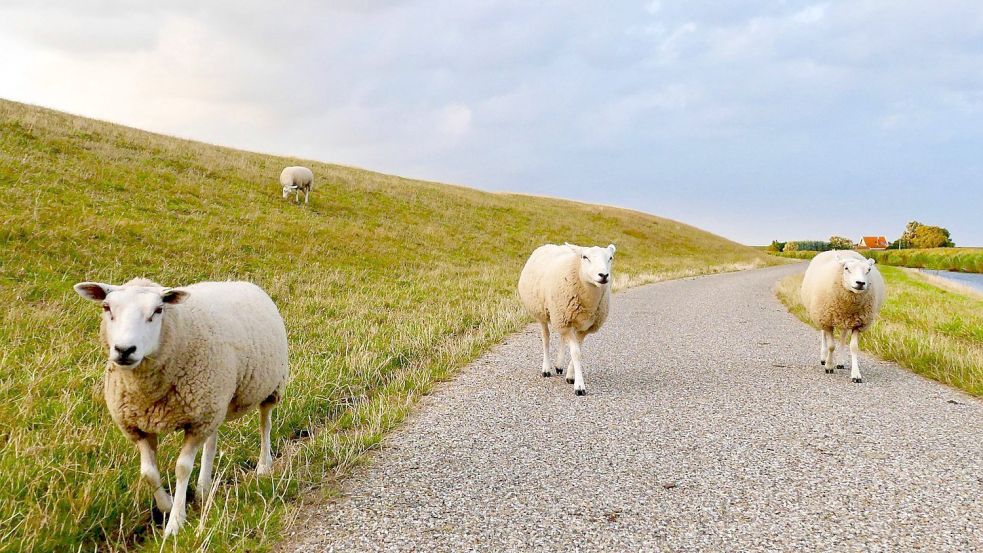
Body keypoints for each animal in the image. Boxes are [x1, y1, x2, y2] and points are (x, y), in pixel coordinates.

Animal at [73, 276, 290, 536]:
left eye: (158, 310)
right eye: (107, 308)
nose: (124, 350)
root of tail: (243, 282)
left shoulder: (196, 423)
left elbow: (182, 468)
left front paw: (175, 522)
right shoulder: (138, 426)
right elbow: (148, 473)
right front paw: (166, 506)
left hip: (269, 387)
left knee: (264, 424)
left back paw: (263, 466)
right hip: (215, 402)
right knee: (211, 442)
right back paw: (204, 487)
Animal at [516, 244, 616, 394]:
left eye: (610, 258)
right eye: (584, 257)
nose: (603, 275)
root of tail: (550, 244)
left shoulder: (584, 328)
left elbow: (578, 351)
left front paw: (571, 376)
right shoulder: (564, 321)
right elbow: (575, 353)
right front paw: (579, 386)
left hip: (562, 318)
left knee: (562, 338)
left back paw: (559, 365)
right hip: (543, 313)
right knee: (546, 338)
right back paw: (546, 368)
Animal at [804, 251, 888, 384]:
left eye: (868, 270)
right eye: (846, 268)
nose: (860, 283)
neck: (849, 306)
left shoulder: (858, 324)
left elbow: (854, 347)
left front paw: (856, 374)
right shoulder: (827, 320)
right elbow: (831, 346)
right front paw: (829, 366)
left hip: (845, 321)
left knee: (843, 338)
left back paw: (840, 362)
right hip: (821, 315)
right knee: (823, 334)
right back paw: (823, 358)